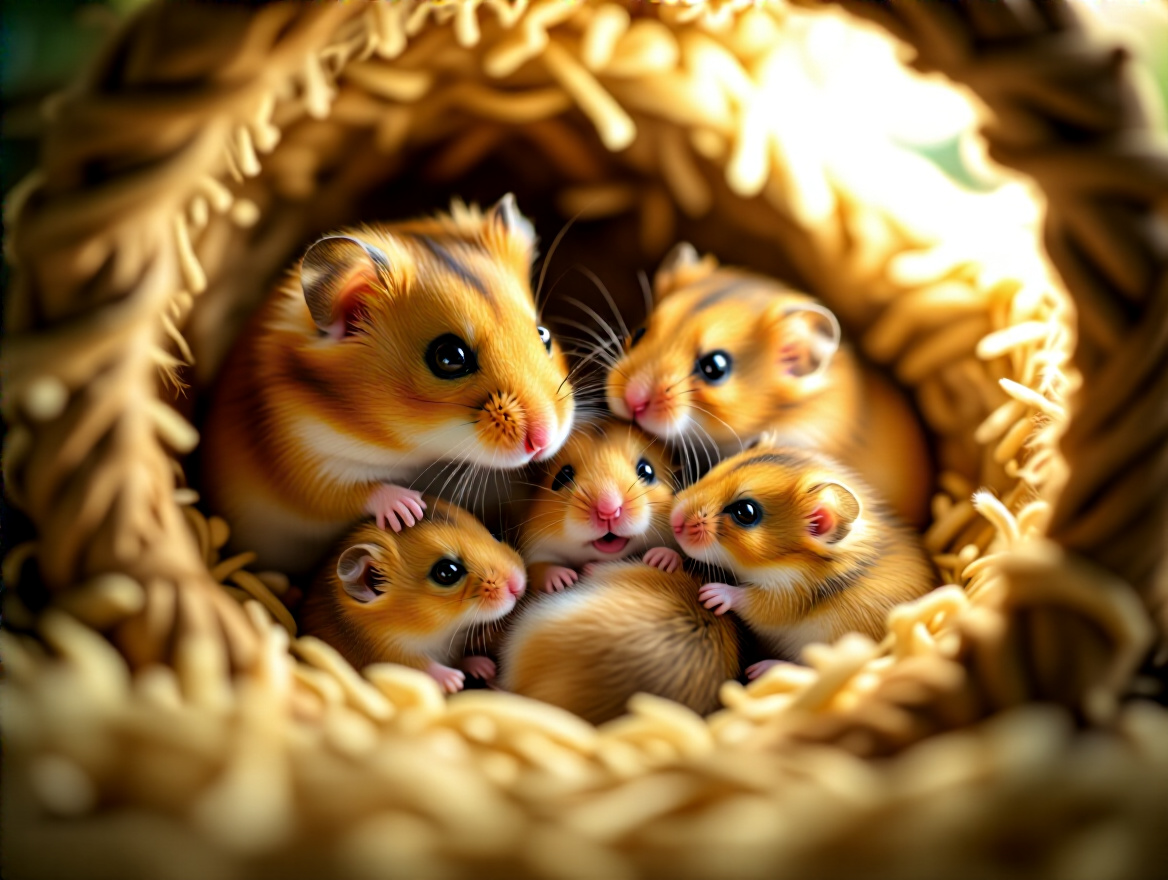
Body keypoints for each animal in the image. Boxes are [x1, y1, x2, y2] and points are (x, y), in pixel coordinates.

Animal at [201, 195, 575, 573]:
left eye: (543, 334)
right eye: (449, 357)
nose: (545, 440)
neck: (410, 447)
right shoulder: (300, 459)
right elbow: (348, 492)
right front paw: (410, 510)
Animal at [299, 498, 526, 693]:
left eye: (495, 534)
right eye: (447, 572)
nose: (519, 585)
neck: (436, 636)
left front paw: (485, 667)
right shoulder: (388, 654)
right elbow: (420, 668)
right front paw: (455, 681)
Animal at [516, 419, 681, 593]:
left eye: (647, 471)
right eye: (562, 477)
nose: (608, 510)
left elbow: (675, 553)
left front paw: (660, 560)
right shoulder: (537, 551)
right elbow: (540, 568)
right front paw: (564, 580)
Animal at [670, 441, 935, 679]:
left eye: (745, 512)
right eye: (713, 471)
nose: (674, 520)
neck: (786, 562)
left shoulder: (790, 593)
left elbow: (753, 601)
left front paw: (712, 594)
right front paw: (668, 557)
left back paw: (762, 670)